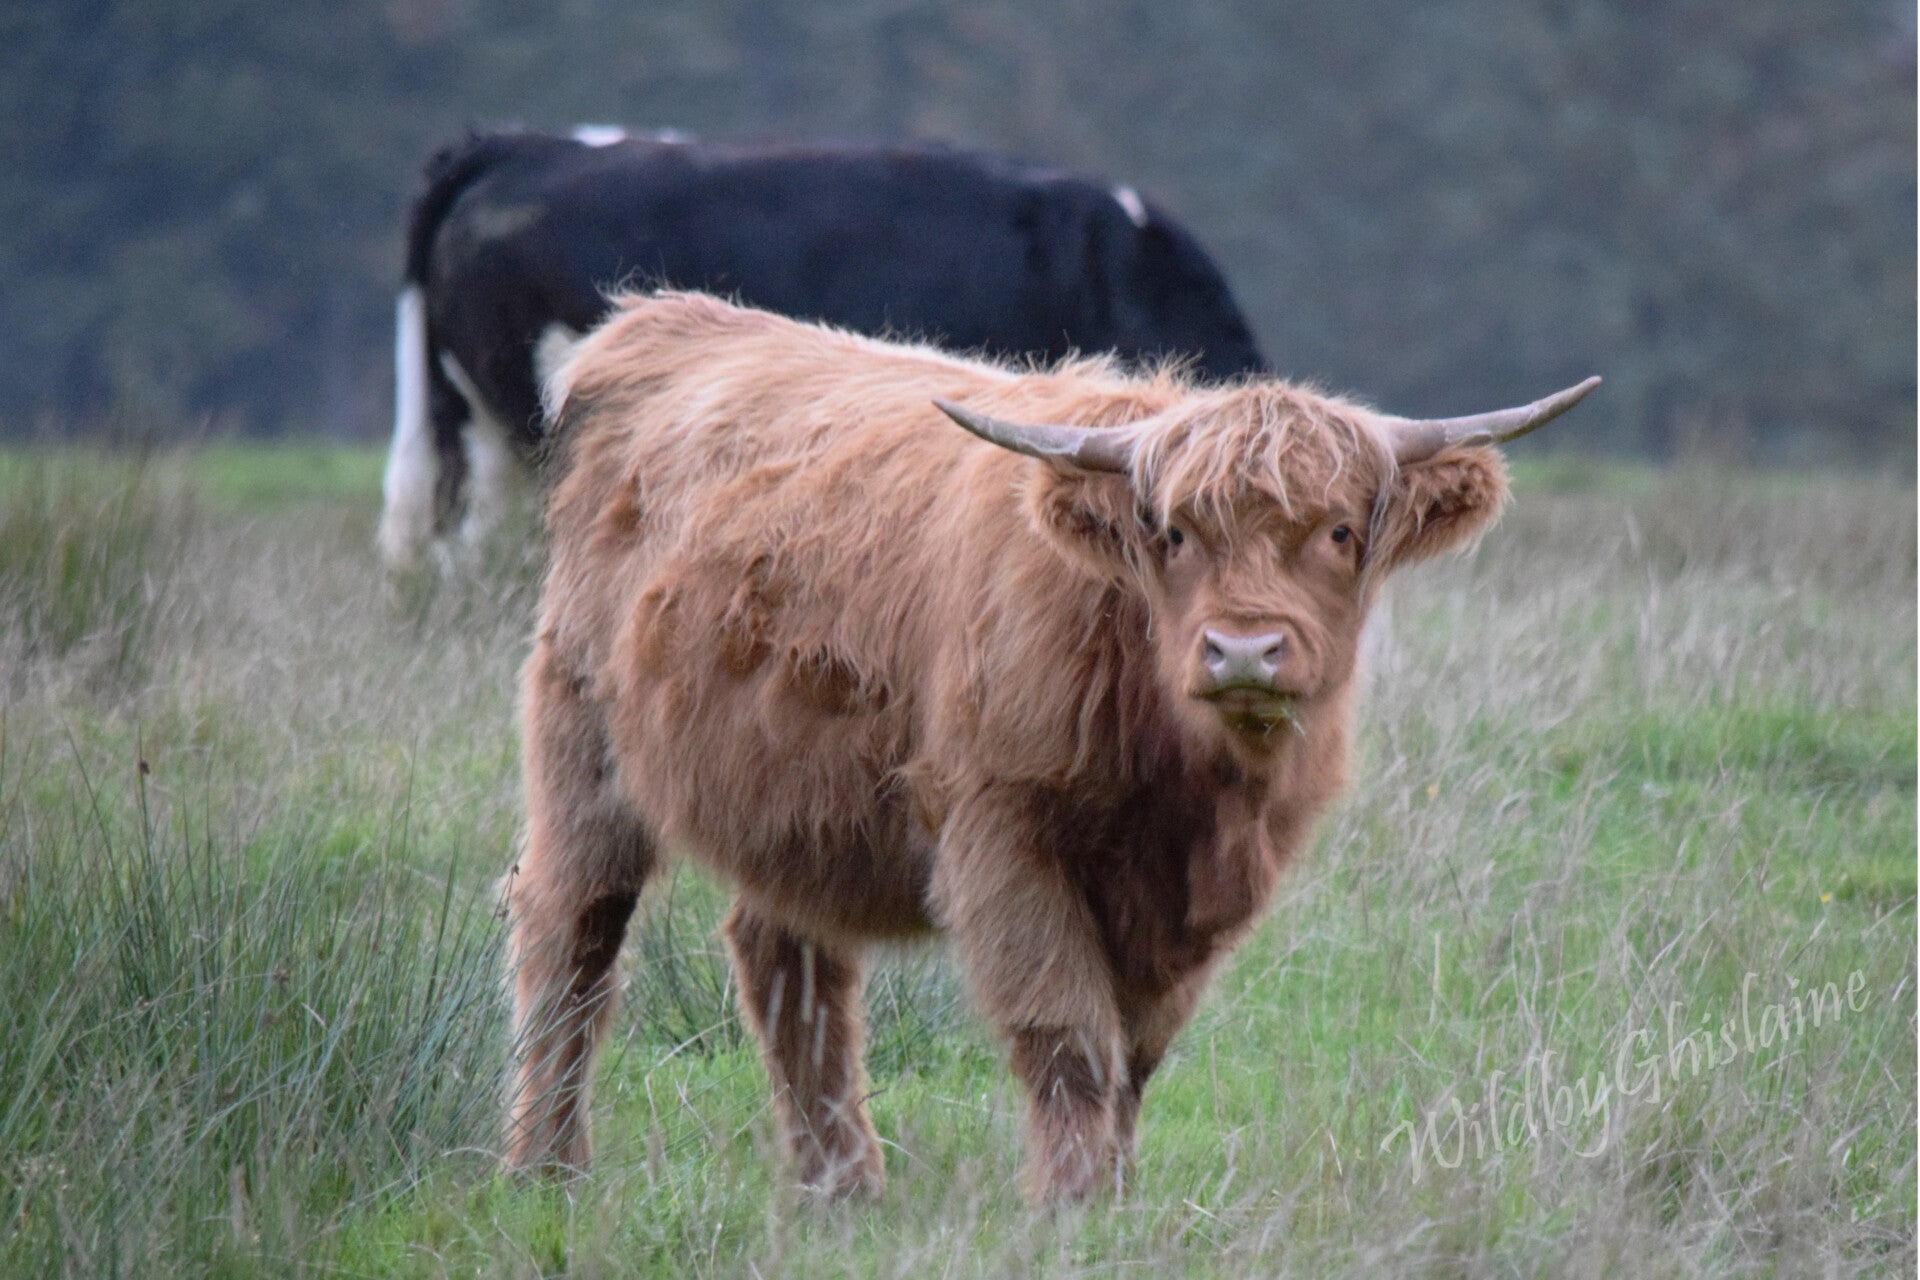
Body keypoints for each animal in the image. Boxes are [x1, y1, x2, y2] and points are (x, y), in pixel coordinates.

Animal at [501, 290, 1597, 1201]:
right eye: (1173, 533)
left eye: (1336, 531)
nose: (1244, 648)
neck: (1185, 780)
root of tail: (660, 319)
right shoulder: (1004, 834)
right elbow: (1068, 1032)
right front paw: (1070, 1202)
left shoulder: (1198, 894)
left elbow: (1138, 1050)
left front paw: (1116, 1191)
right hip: (581, 734)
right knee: (573, 934)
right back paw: (547, 1166)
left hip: (794, 796)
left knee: (787, 958)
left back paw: (841, 1186)